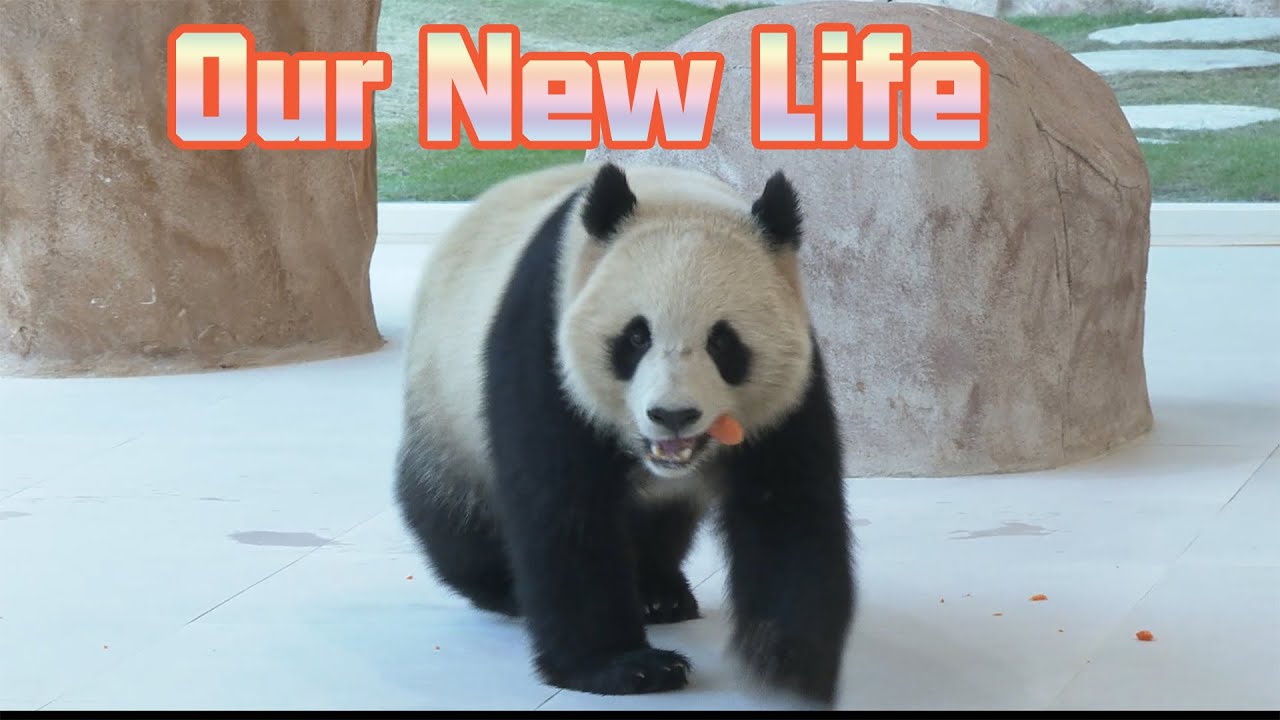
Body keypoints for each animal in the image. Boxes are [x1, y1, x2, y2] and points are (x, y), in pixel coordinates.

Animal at [395, 161, 855, 705]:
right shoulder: (546, 342)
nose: (673, 414)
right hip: (446, 396)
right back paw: (506, 588)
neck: (677, 198)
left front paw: (788, 659)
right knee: (456, 516)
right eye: (636, 337)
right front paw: (626, 667)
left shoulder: (789, 390)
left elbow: (788, 507)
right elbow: (564, 508)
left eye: (723, 342)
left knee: (662, 523)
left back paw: (659, 593)